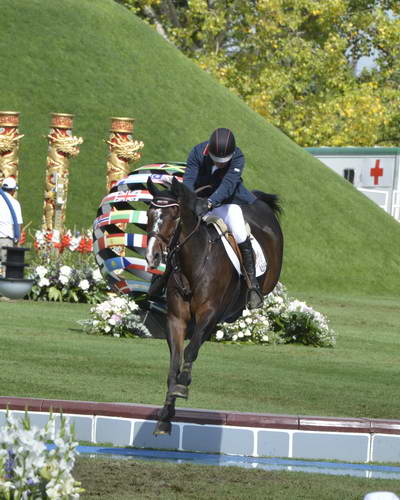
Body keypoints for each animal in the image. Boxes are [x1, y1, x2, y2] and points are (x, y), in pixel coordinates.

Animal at [145, 178, 282, 436]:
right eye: (149, 213)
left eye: (174, 215)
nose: (152, 256)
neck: (193, 262)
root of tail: (260, 203)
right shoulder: (176, 319)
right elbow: (175, 360)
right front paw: (166, 415)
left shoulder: (208, 313)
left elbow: (190, 351)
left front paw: (183, 385)